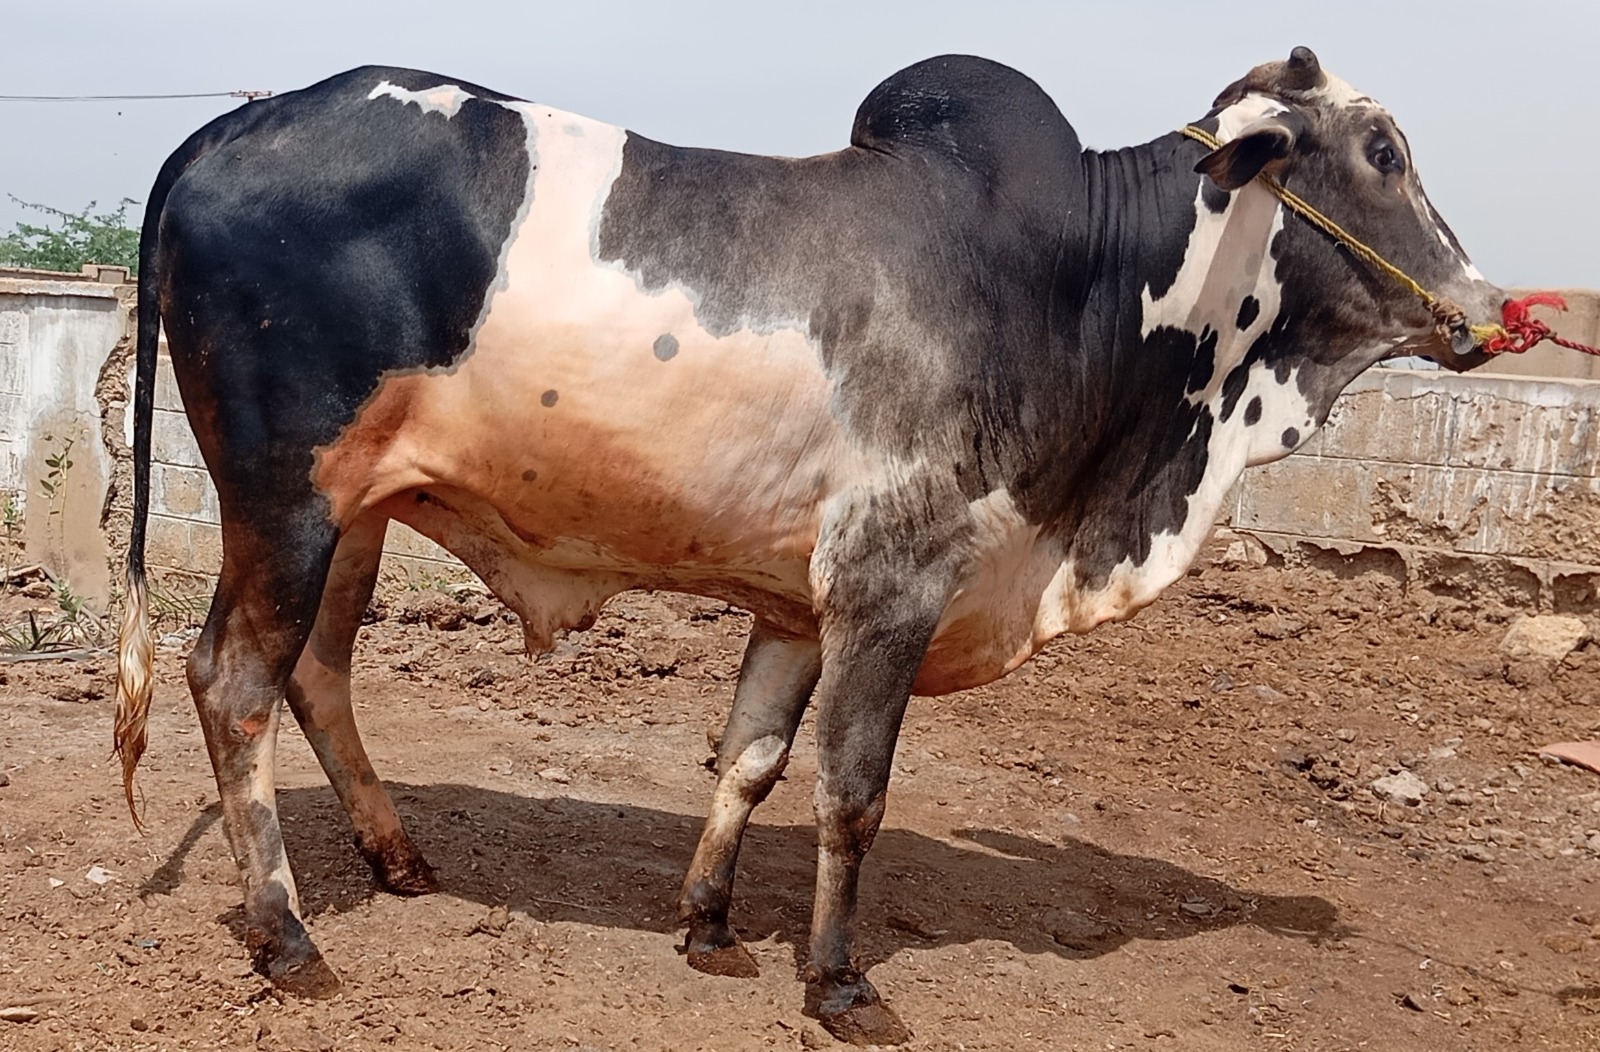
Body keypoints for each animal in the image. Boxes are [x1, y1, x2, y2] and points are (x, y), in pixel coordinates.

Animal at [115, 47, 1506, 1044]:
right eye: (1381, 148)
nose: (1490, 310)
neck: (1087, 289)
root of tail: (228, 129)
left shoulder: (793, 603)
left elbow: (751, 758)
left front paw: (710, 924)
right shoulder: (894, 587)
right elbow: (852, 789)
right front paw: (839, 984)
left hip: (355, 513)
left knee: (315, 673)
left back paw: (399, 858)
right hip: (284, 501)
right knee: (232, 681)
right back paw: (289, 937)